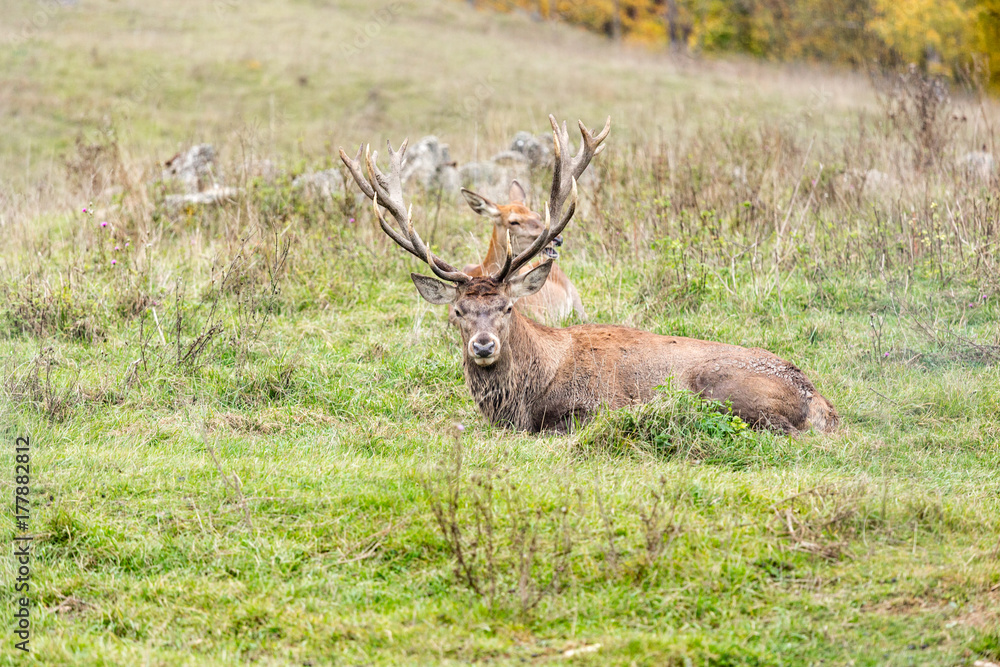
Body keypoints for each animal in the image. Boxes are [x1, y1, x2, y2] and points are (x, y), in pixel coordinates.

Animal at [339, 121, 840, 436]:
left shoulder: (593, 408)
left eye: (507, 307)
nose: (483, 345)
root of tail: (821, 401)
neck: (523, 399)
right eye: (459, 311)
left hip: (724, 388)